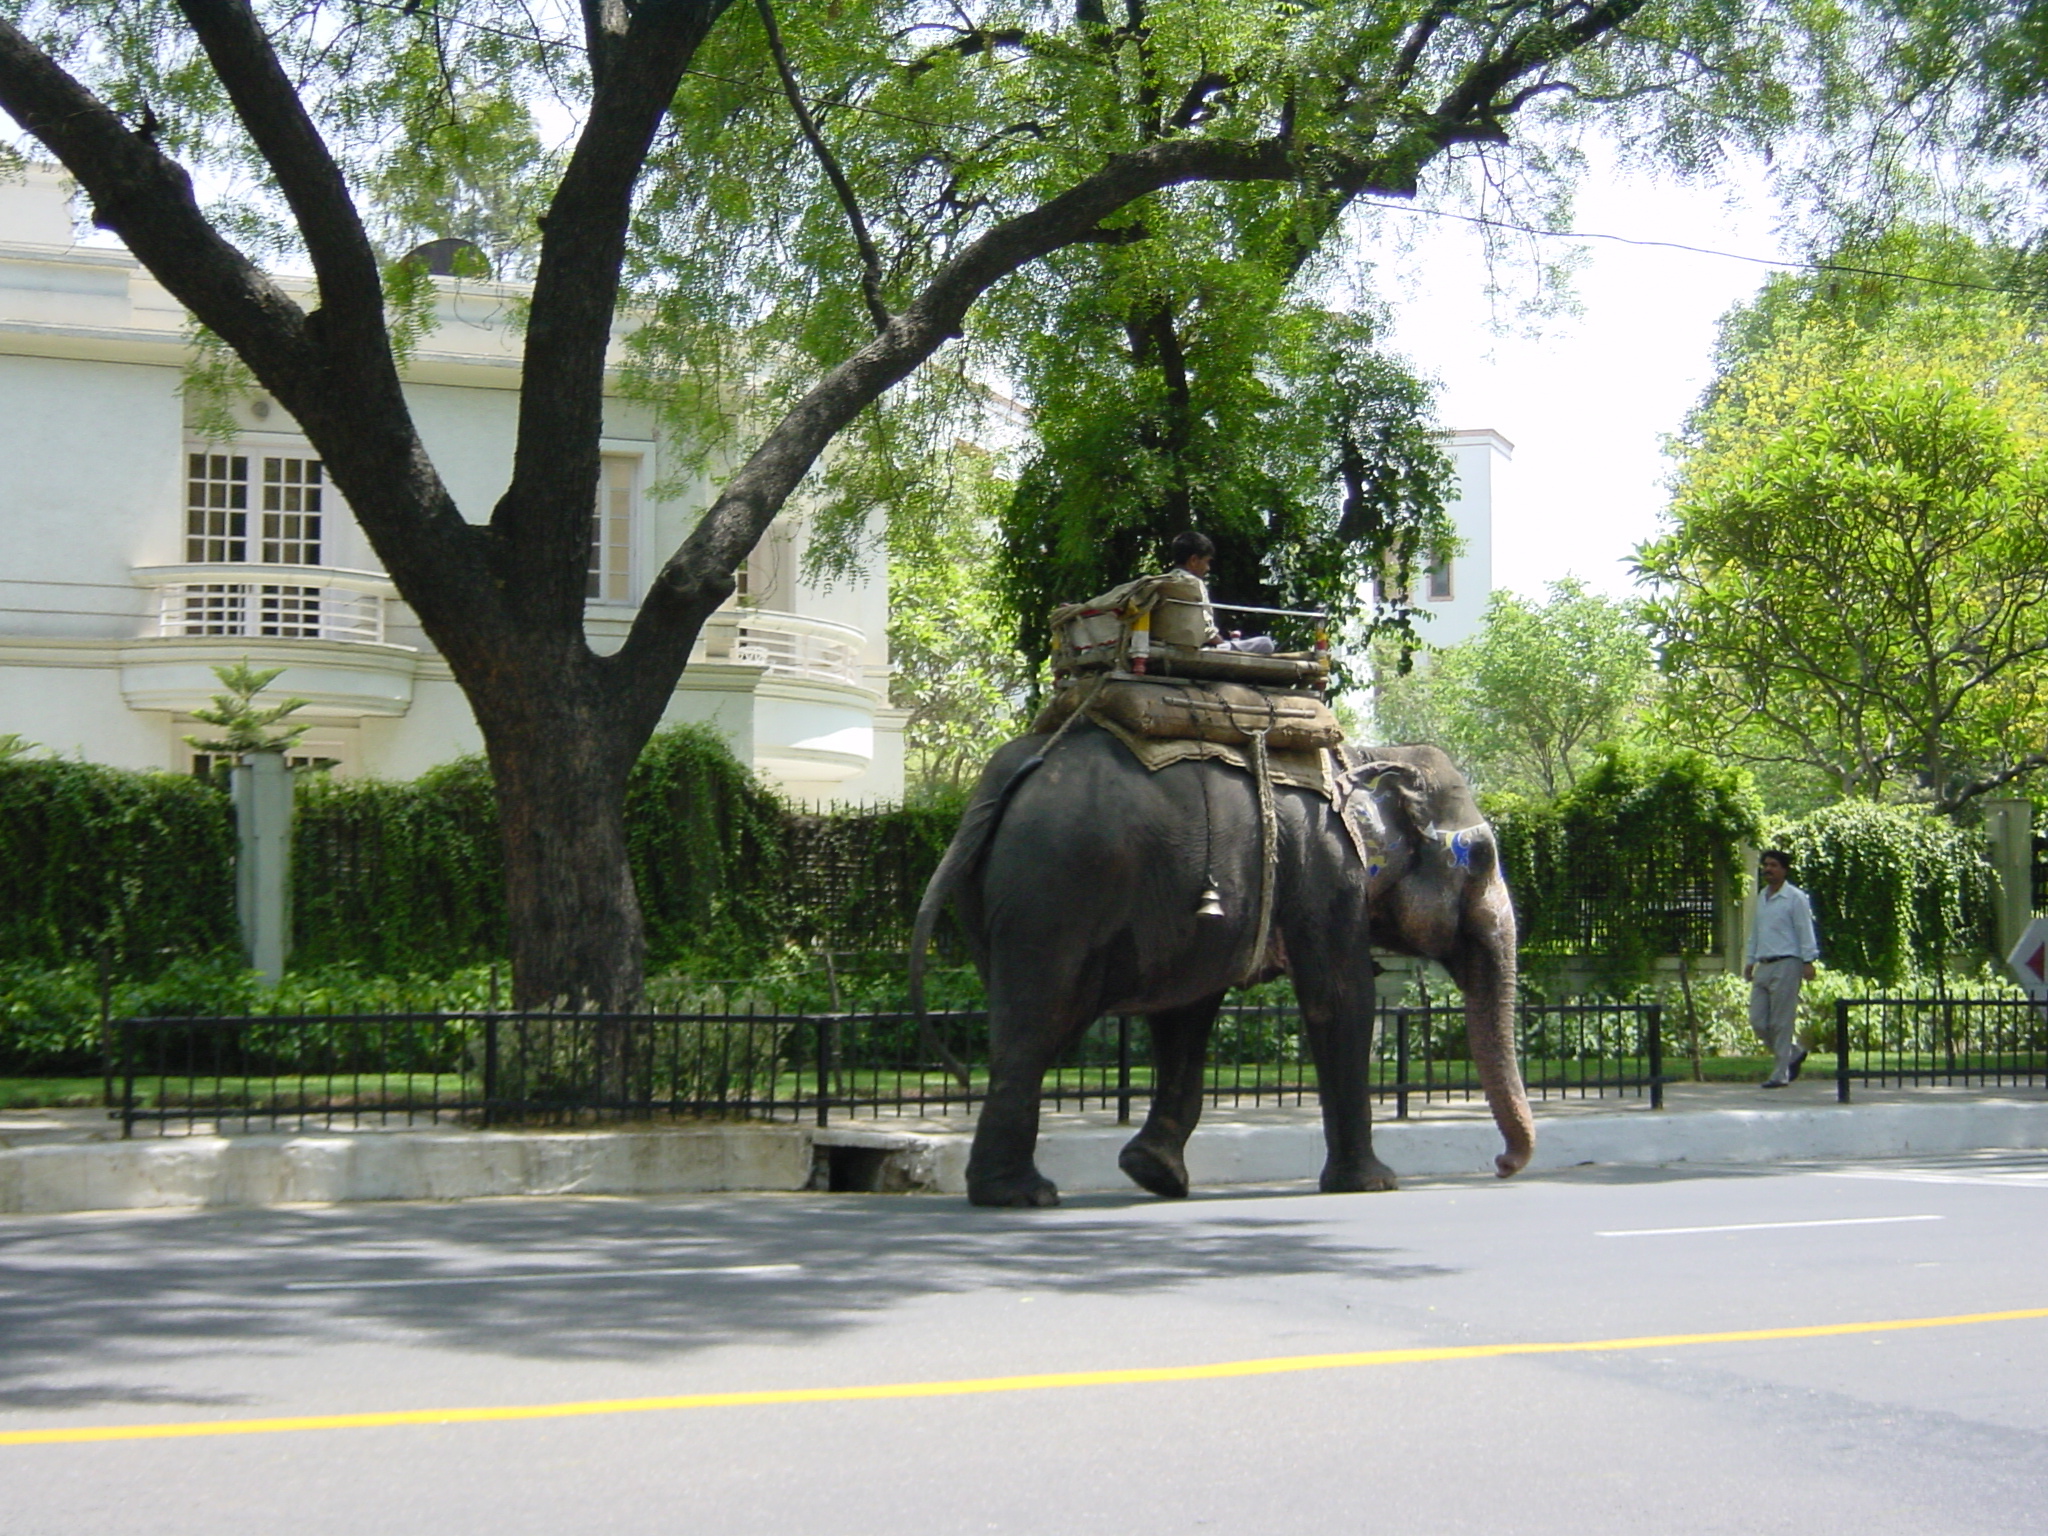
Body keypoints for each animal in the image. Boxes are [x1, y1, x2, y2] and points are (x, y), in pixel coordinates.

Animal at [913, 724, 1540, 1212]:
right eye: (1483, 856)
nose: (1501, 1165)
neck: (1361, 755)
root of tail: (1005, 778)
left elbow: (1185, 1013)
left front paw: (1155, 1175)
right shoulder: (1328, 869)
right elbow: (1340, 999)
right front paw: (1373, 1185)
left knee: (1017, 1025)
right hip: (1057, 895)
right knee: (1036, 1025)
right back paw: (1022, 1195)